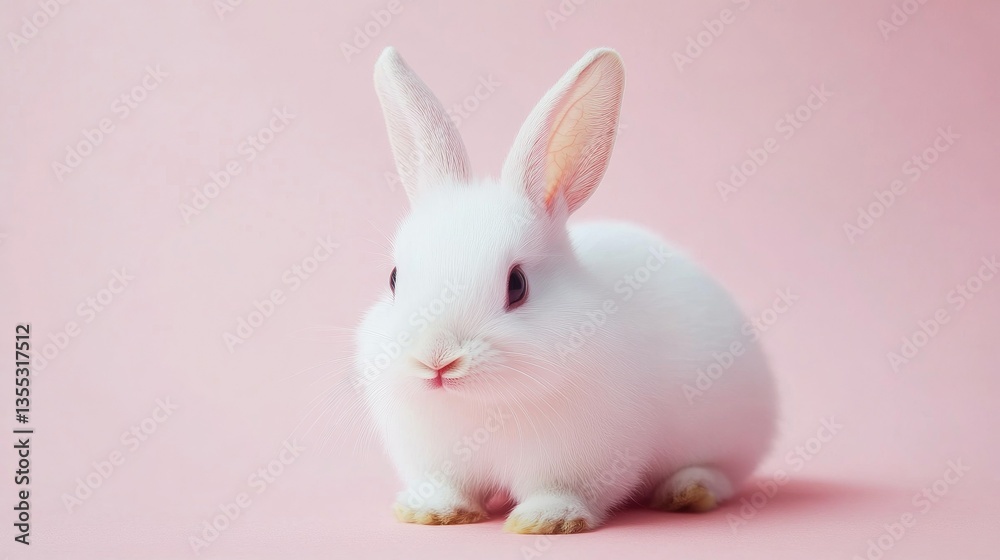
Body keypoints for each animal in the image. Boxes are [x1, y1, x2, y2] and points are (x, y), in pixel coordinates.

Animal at [354, 46, 778, 534]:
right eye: (394, 278)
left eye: (517, 285)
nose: (436, 360)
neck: (482, 405)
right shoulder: (435, 460)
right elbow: (447, 487)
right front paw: (433, 513)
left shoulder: (580, 462)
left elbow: (561, 491)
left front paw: (547, 521)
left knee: (722, 475)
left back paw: (688, 492)